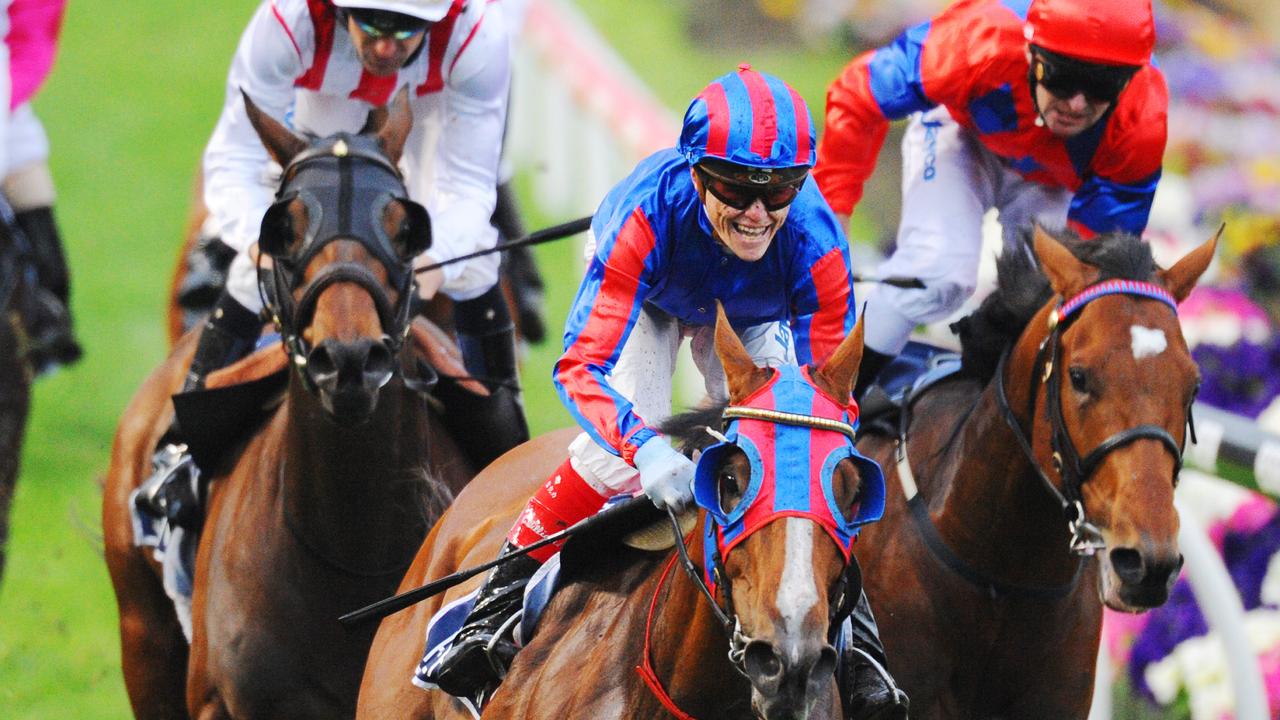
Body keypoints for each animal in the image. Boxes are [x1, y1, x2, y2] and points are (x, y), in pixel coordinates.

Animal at [103, 92, 476, 712]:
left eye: (403, 228)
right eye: (286, 227)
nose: (348, 358)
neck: (351, 552)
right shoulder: (220, 699)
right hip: (143, 641)